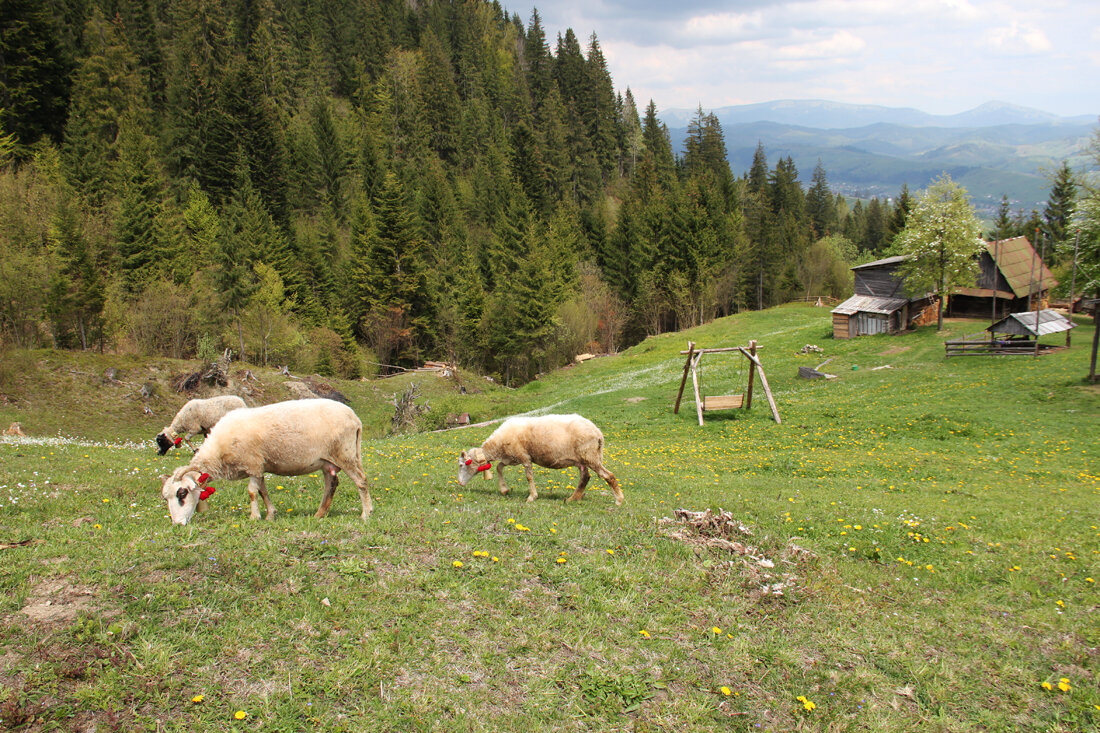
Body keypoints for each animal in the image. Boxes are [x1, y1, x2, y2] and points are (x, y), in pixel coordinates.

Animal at [159, 396, 374, 521]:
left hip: (345, 454)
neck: (218, 453)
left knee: (361, 481)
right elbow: (262, 491)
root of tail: (355, 419)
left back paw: (366, 513)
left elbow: (252, 492)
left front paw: (255, 517)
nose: (177, 523)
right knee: (331, 483)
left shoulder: (253, 463)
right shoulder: (259, 466)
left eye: (182, 493)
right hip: (327, 460)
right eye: (166, 497)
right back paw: (319, 514)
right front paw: (271, 514)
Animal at [455, 413, 624, 506]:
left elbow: (529, 476)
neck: (497, 445)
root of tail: (598, 433)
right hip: (582, 460)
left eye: (462, 464)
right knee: (585, 477)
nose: (460, 483)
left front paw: (531, 497)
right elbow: (499, 467)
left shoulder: (524, 457)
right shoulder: (511, 457)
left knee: (608, 476)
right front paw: (504, 489)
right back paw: (572, 499)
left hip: (590, 456)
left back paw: (619, 500)